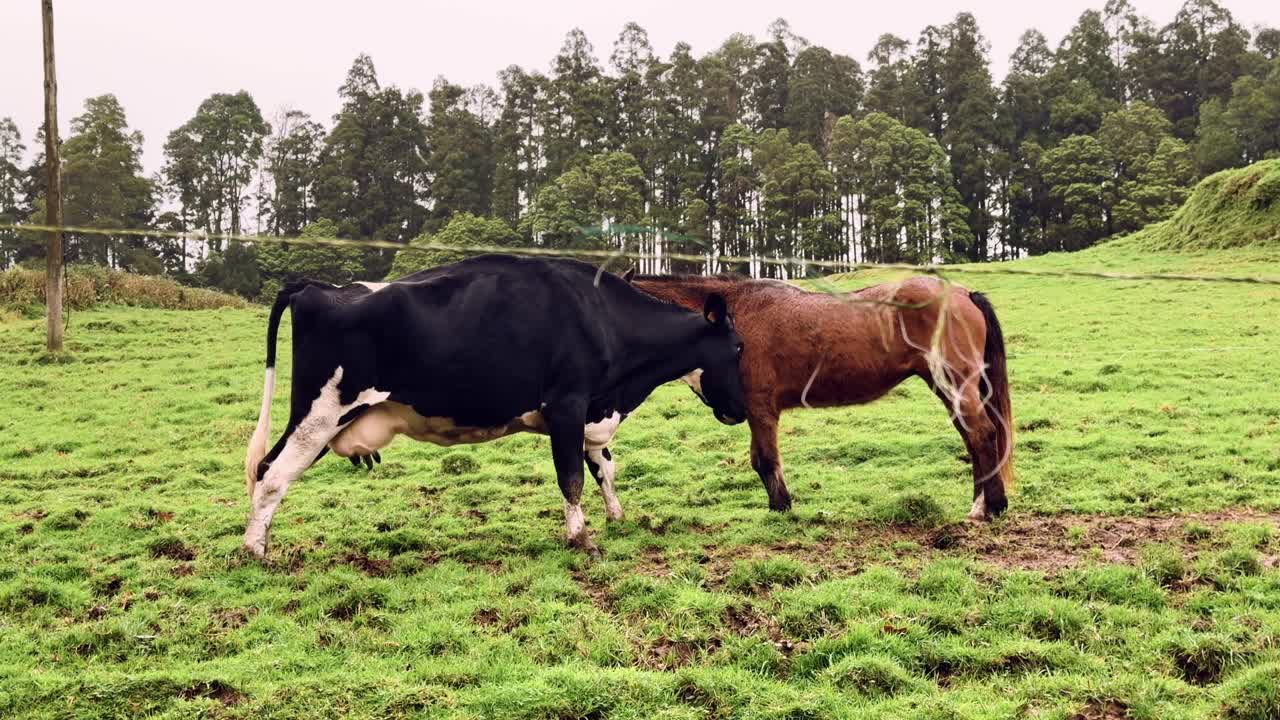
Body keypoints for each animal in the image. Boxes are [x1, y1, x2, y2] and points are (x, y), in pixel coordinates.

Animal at [242, 254, 748, 558]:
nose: (741, 410)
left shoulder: (592, 412)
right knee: (271, 473)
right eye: (739, 347)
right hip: (321, 412)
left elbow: (605, 467)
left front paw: (617, 517)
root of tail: (316, 285)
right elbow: (572, 477)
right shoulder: (567, 403)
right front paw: (581, 539)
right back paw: (253, 550)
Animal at [623, 269, 1013, 520]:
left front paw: (781, 509)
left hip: (955, 384)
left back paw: (991, 507)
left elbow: (765, 461)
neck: (734, 319)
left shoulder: (760, 407)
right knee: (972, 438)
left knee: (982, 435)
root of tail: (962, 293)